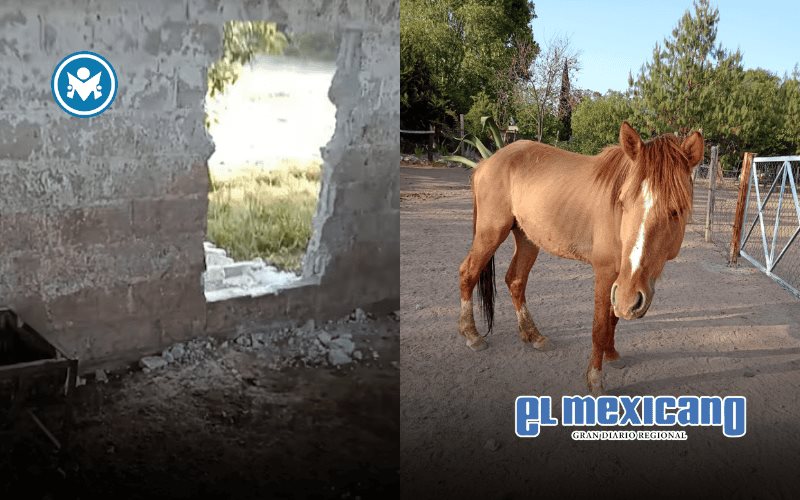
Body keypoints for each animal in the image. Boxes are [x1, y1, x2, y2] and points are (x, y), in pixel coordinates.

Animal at [457, 122, 703, 395]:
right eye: (623, 202)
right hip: (491, 233)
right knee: (468, 273)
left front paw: (612, 355)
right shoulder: (607, 273)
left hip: (526, 237)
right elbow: (600, 325)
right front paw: (595, 379)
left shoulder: (621, 281)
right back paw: (472, 335)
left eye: (676, 211)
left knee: (515, 281)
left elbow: (613, 318)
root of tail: (486, 163)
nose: (631, 300)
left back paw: (533, 336)